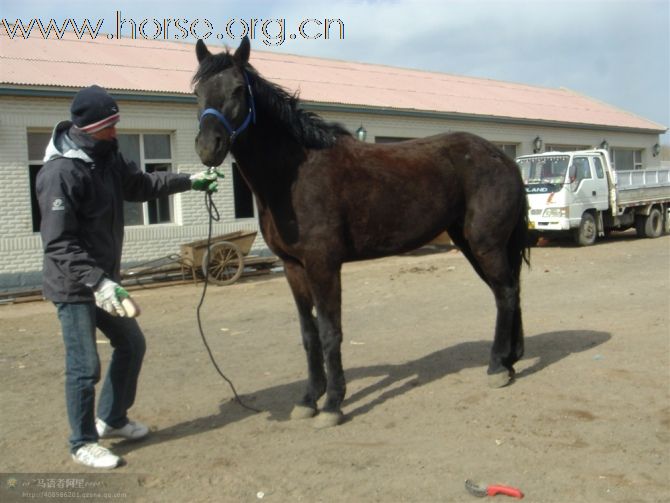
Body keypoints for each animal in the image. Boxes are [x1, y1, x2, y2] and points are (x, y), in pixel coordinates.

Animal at [193, 37, 532, 428]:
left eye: (237, 89)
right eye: (197, 91)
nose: (209, 147)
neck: (293, 174)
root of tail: (503, 159)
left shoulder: (324, 265)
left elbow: (330, 332)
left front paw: (332, 404)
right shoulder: (293, 267)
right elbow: (308, 334)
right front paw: (308, 400)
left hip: (485, 244)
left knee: (505, 293)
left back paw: (496, 368)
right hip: (472, 243)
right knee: (508, 291)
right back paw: (511, 359)